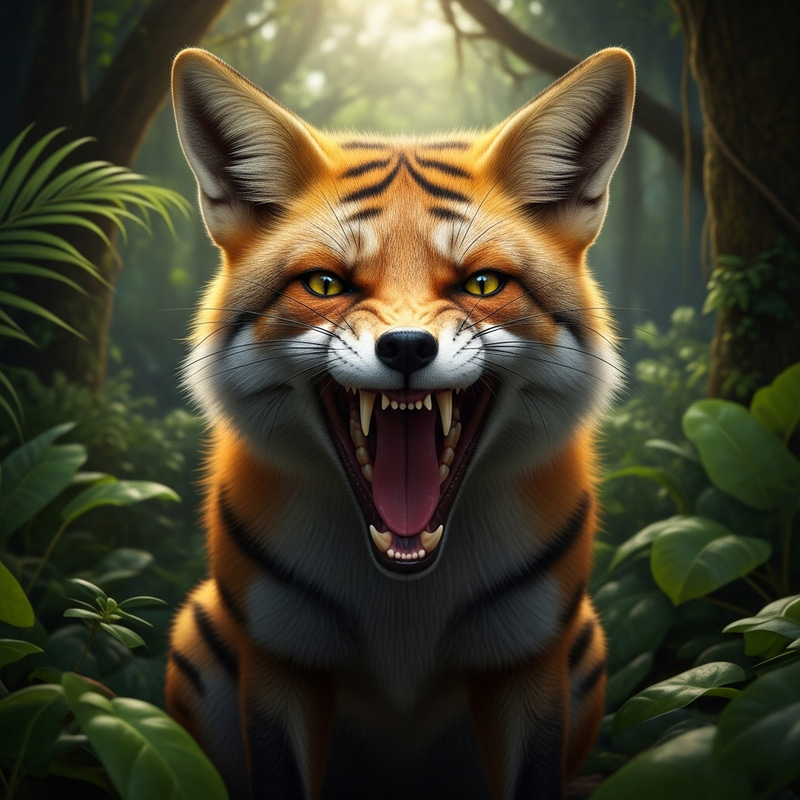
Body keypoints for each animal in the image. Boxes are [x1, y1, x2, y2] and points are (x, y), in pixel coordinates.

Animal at [165, 46, 634, 800]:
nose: (409, 348)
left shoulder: (530, 661)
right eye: (326, 284)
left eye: (481, 284)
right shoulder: (279, 661)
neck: (404, 605)